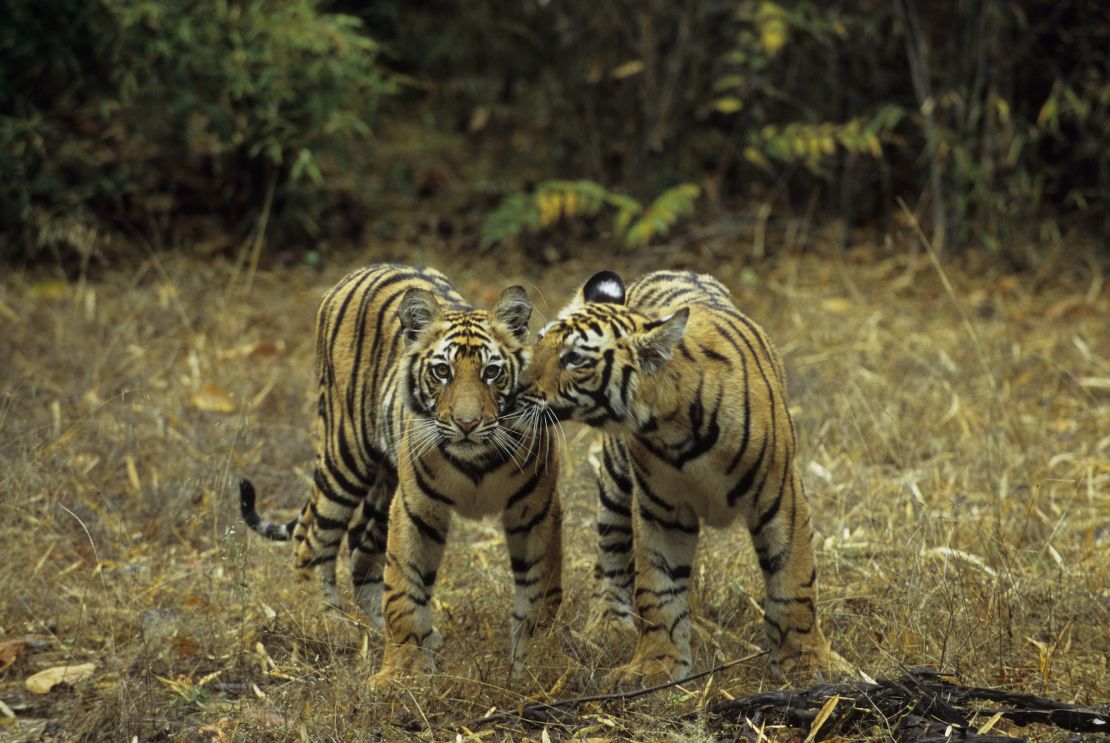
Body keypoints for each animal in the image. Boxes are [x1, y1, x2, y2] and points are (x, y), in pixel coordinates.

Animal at [237, 262, 559, 684]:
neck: (477, 460)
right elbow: (404, 589)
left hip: (385, 478)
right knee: (313, 539)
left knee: (360, 548)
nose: (467, 424)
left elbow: (541, 592)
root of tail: (363, 269)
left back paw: (382, 627)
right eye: (442, 371)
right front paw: (401, 674)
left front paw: (538, 666)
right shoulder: (415, 508)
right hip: (346, 455)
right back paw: (326, 622)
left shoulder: (537, 510)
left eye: (492, 372)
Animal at [515, 269, 834, 679]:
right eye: (539, 340)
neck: (671, 427)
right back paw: (607, 626)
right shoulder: (660, 507)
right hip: (616, 481)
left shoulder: (781, 497)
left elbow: (793, 581)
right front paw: (656, 664)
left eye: (574, 359)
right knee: (610, 552)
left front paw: (807, 660)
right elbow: (657, 588)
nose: (513, 386)